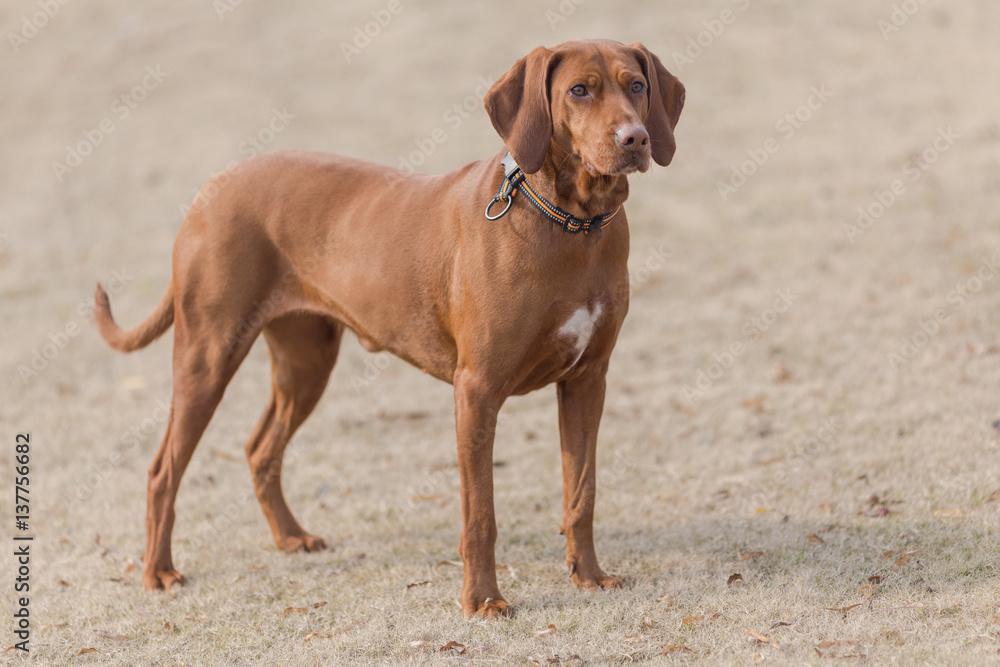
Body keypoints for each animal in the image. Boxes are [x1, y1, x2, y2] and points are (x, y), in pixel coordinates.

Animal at [95, 39, 680, 620]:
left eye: (636, 85)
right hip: (208, 354)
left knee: (260, 448)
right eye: (579, 90)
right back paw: (158, 571)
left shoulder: (587, 381)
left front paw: (590, 576)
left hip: (307, 363)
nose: (636, 138)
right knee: (162, 470)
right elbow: (480, 515)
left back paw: (291, 538)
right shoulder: (477, 391)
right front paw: (483, 600)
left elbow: (582, 492)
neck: (570, 223)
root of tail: (211, 187)